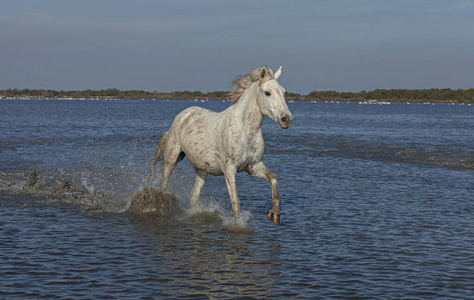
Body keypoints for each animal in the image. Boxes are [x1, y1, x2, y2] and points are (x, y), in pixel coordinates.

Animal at [148, 66, 292, 223]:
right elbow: (236, 202)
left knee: (194, 195)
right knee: (164, 185)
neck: (244, 130)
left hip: (202, 169)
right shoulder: (229, 169)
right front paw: (238, 224)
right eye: (267, 93)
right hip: (172, 158)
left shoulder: (253, 166)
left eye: (283, 92)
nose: (286, 119)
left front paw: (275, 213)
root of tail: (183, 115)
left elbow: (273, 178)